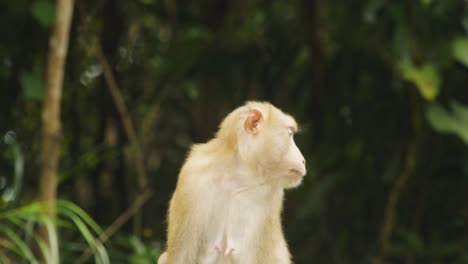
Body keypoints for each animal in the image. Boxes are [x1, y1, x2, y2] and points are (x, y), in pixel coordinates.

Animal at [159, 101, 306, 264]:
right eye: (290, 133)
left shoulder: (273, 195)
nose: (303, 160)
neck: (237, 177)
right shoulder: (191, 179)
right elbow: (181, 257)